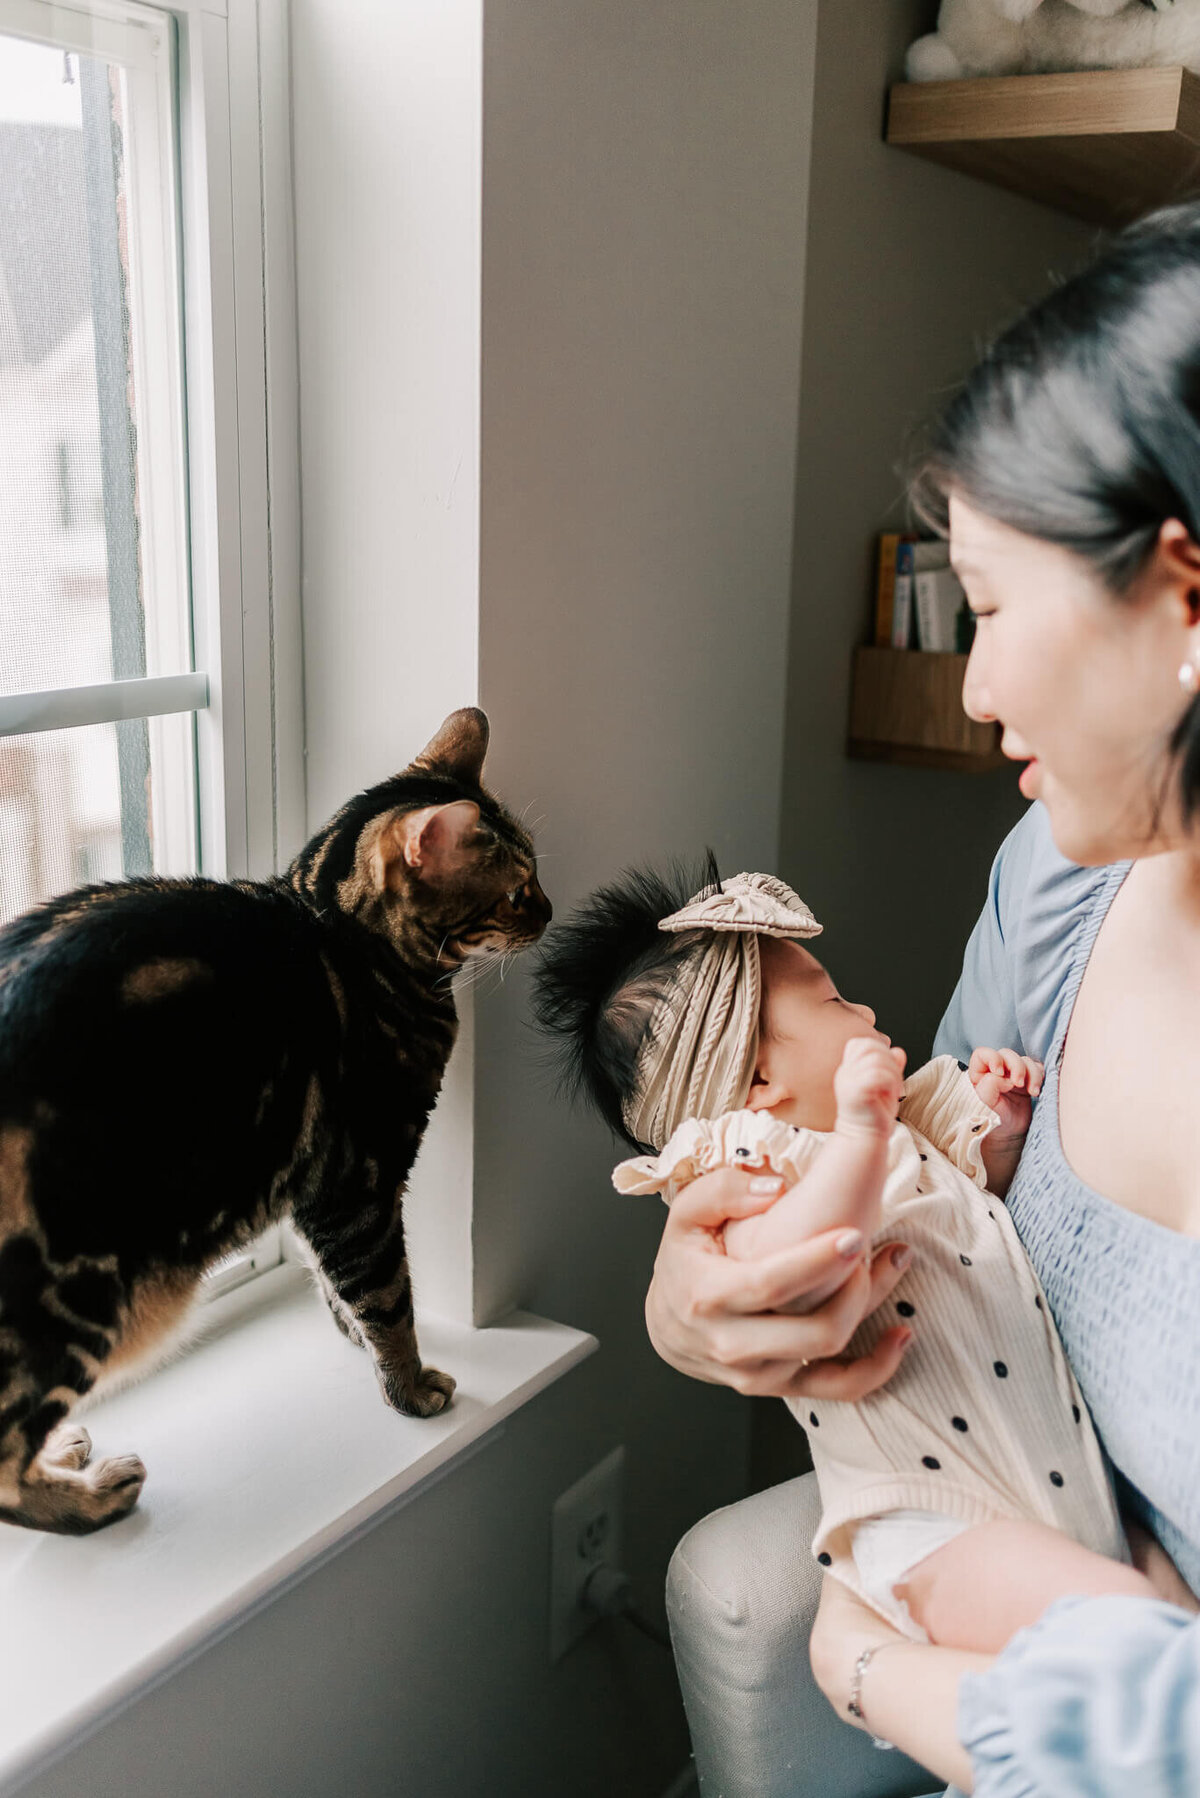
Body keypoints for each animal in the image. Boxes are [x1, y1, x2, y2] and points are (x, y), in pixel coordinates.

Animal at [0, 704, 550, 1531]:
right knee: (6, 1461)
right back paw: (87, 1495)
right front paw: (409, 1386)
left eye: (536, 875)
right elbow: (389, 1296)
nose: (549, 909)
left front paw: (352, 1336)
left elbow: (340, 1284)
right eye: (518, 890)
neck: (344, 935)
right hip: (71, 1300)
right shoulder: (359, 1181)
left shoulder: (316, 1183)